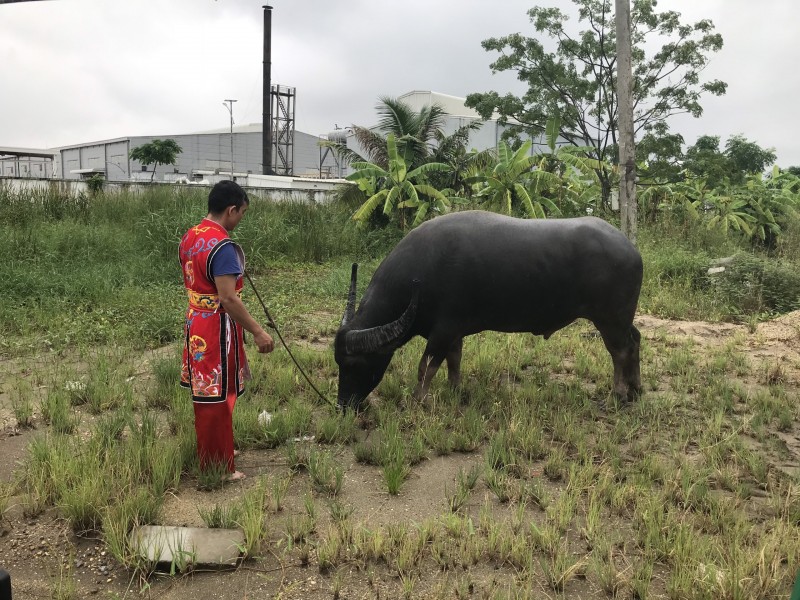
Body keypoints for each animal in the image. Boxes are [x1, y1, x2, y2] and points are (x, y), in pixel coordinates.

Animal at [332, 209, 644, 410]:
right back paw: (636, 390)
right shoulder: (453, 331)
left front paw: (418, 400)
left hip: (610, 319)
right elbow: (454, 361)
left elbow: (426, 367)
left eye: (354, 364)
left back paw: (617, 396)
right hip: (622, 319)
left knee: (620, 351)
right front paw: (455, 391)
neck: (421, 273)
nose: (343, 405)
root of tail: (631, 250)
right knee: (636, 340)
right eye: (338, 362)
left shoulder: (442, 331)